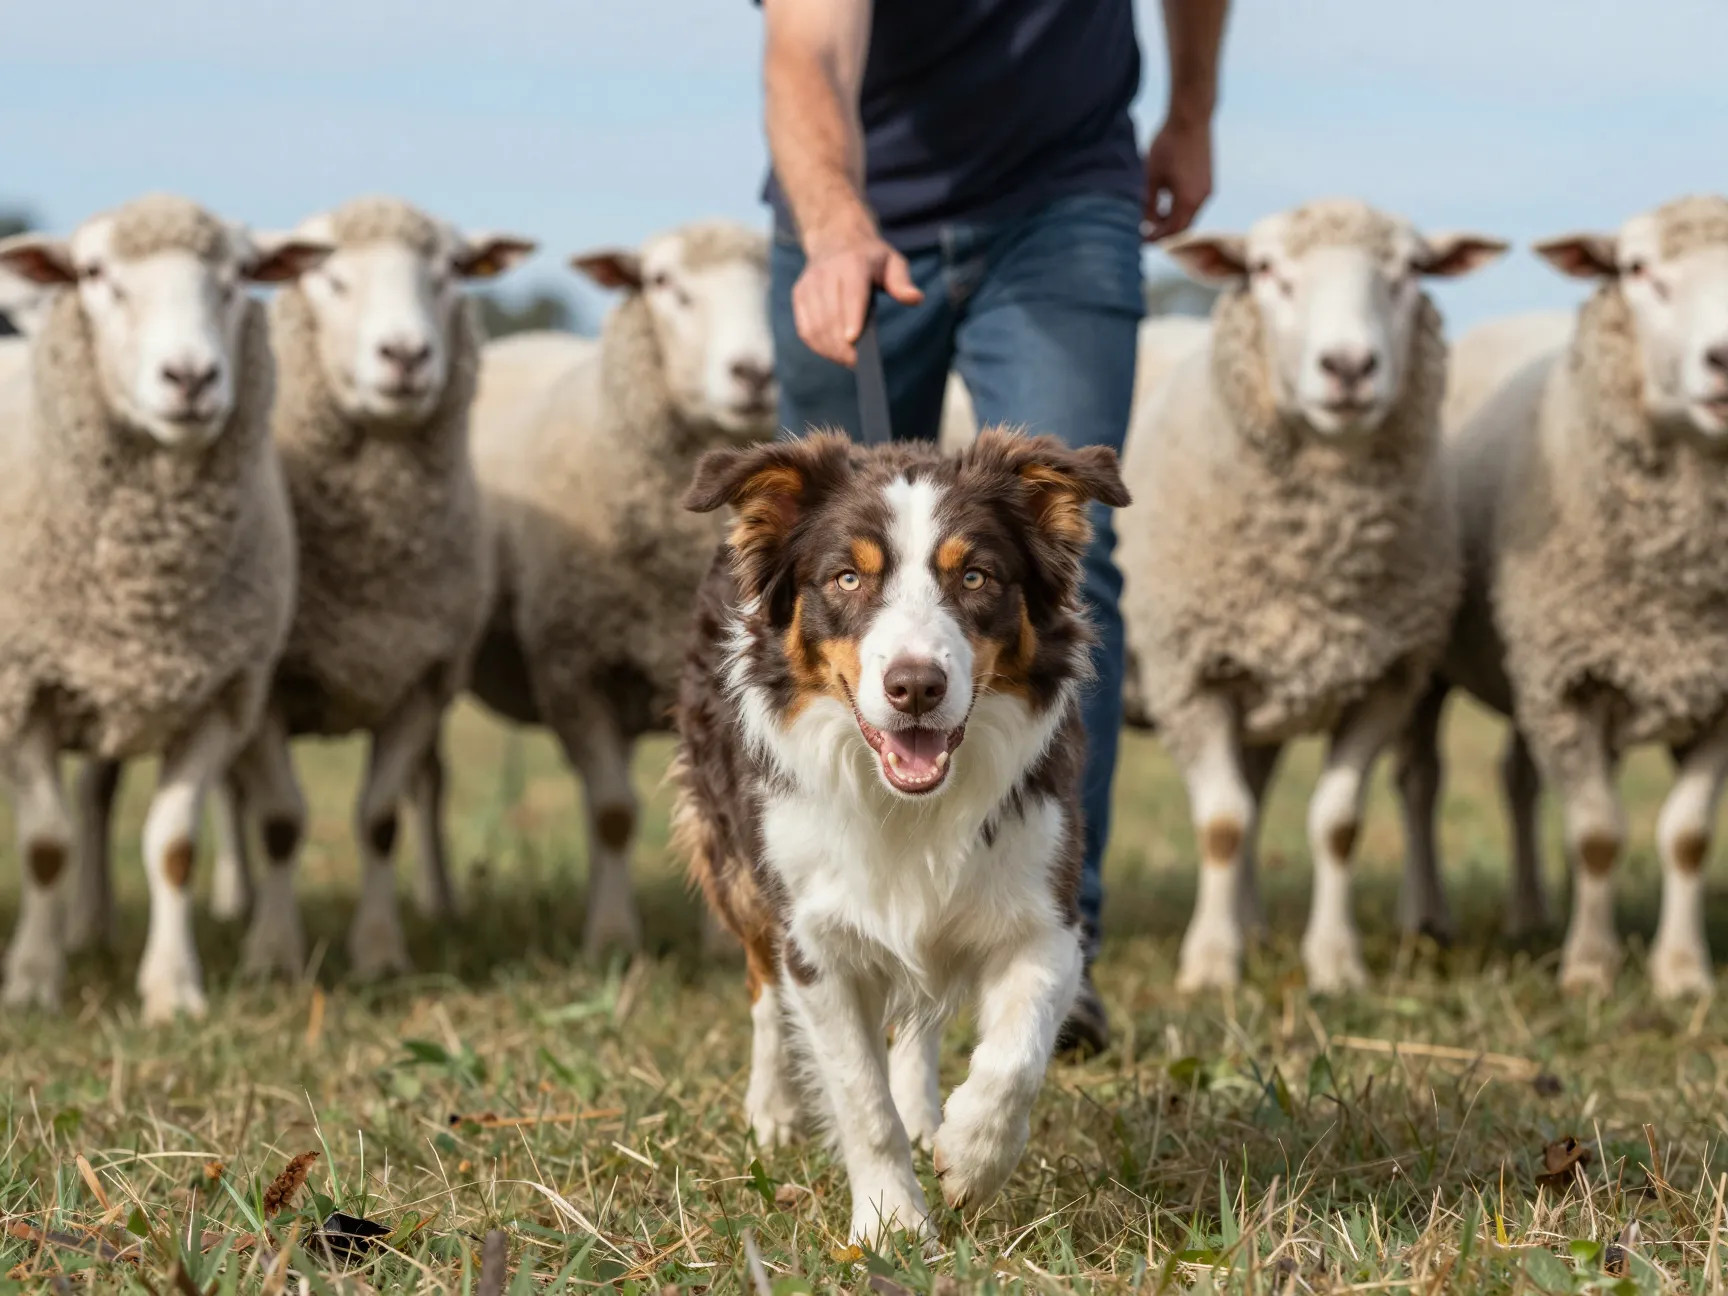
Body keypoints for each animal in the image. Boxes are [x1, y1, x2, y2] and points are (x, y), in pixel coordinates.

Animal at [0, 194, 329, 1019]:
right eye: (93, 274)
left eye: (241, 275)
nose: (190, 376)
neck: (145, 588)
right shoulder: (19, 694)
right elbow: (45, 846)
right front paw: (32, 981)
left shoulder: (220, 698)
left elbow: (173, 846)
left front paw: (173, 990)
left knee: (99, 797)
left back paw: (91, 926)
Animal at [73, 197, 536, 982]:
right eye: (330, 278)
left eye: (448, 272)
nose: (405, 356)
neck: (373, 557)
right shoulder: (262, 688)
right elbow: (281, 822)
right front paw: (273, 953)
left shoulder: (418, 682)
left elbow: (379, 820)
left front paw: (380, 951)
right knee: (105, 796)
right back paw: (105, 922)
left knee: (428, 786)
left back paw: (438, 903)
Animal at [464, 219, 775, 958]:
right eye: (663, 283)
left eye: (771, 278)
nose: (754, 373)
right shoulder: (572, 669)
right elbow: (611, 813)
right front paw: (610, 940)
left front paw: (723, 945)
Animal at [1117, 198, 1506, 993]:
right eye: (1267, 270)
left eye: (1410, 270)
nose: (1349, 366)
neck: (1318, 560)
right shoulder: (1188, 675)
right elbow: (1222, 823)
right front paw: (1210, 967)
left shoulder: (1386, 680)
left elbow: (1336, 824)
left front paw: (1334, 965)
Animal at [1396, 195, 1728, 998]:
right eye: (1637, 269)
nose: (1725, 360)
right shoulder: (1567, 686)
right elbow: (1598, 834)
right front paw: (1590, 971)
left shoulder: (1714, 695)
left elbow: (1688, 838)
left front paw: (1682, 975)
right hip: (1446, 668)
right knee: (1419, 782)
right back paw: (1428, 918)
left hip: (1531, 673)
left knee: (1517, 782)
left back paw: (1529, 913)